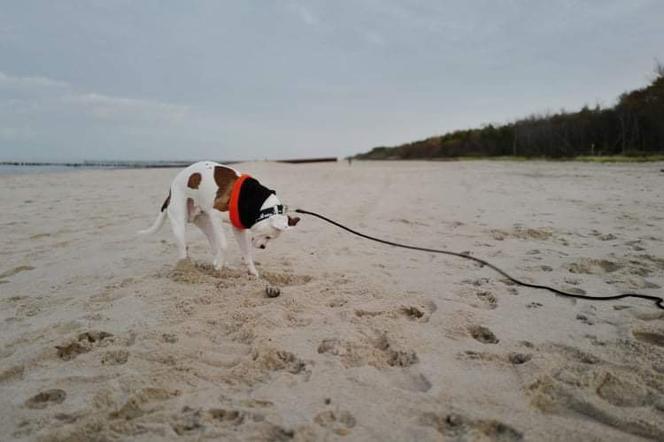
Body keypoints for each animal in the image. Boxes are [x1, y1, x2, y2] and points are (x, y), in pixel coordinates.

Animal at [140, 161, 300, 274]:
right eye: (268, 236)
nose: (263, 247)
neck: (258, 204)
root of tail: (171, 191)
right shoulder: (216, 216)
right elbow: (224, 244)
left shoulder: (238, 228)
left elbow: (246, 251)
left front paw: (253, 272)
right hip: (181, 222)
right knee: (183, 250)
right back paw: (186, 269)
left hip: (205, 223)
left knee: (213, 244)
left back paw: (222, 264)